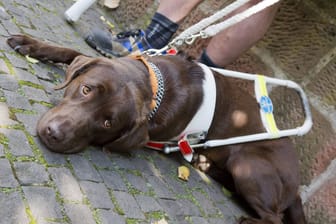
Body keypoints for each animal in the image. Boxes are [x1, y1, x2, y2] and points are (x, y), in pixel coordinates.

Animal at [7, 34, 308, 223]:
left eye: (107, 123)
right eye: (85, 89)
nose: (54, 133)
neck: (155, 85)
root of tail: (298, 184)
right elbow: (73, 53)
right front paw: (31, 44)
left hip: (248, 166)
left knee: (274, 217)